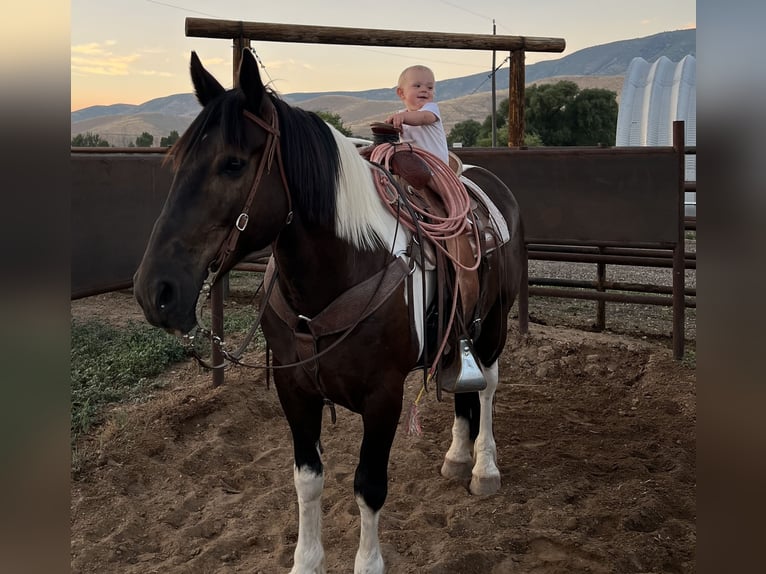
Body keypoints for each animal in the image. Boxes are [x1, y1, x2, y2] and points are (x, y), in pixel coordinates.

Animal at [134, 50, 528, 574]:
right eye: (177, 163)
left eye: (233, 164)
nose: (154, 290)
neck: (345, 264)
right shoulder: (294, 388)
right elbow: (308, 479)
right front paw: (305, 561)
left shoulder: (384, 396)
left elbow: (369, 486)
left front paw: (368, 562)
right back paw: (457, 456)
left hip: (494, 325)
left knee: (485, 388)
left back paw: (484, 467)